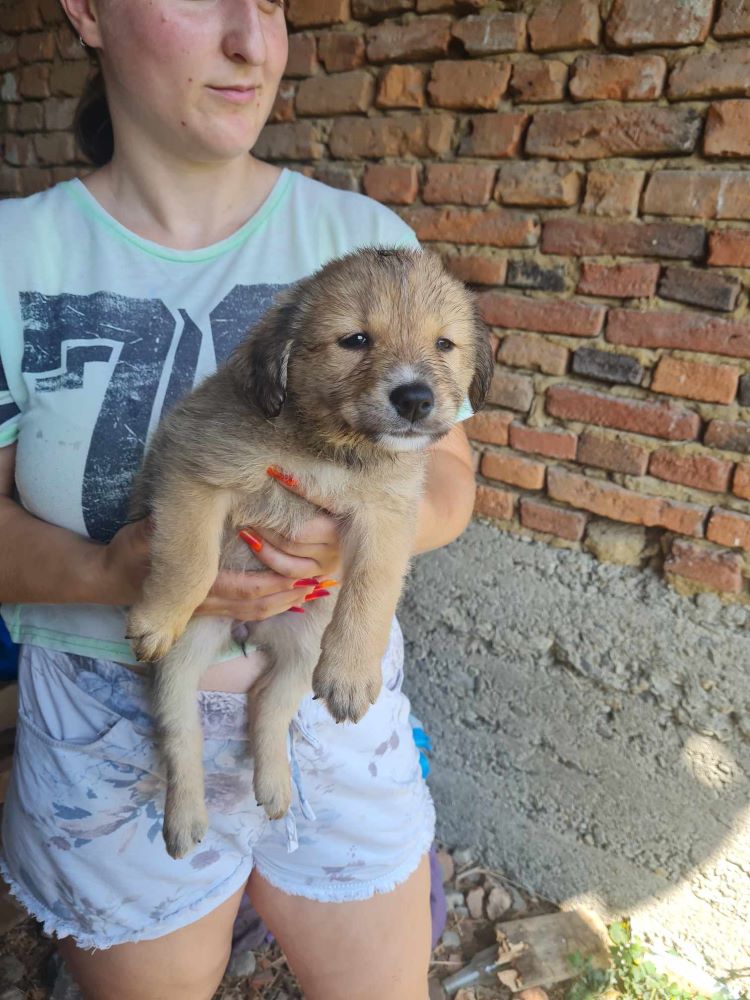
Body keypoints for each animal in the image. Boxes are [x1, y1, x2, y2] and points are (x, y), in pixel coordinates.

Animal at [129, 246, 494, 856]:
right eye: (355, 340)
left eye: (444, 343)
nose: (415, 398)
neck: (330, 449)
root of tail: (252, 631)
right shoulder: (195, 473)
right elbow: (191, 559)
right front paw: (157, 615)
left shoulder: (387, 518)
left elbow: (372, 589)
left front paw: (351, 675)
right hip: (182, 664)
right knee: (181, 732)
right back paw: (184, 818)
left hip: (304, 648)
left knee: (268, 706)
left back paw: (275, 785)